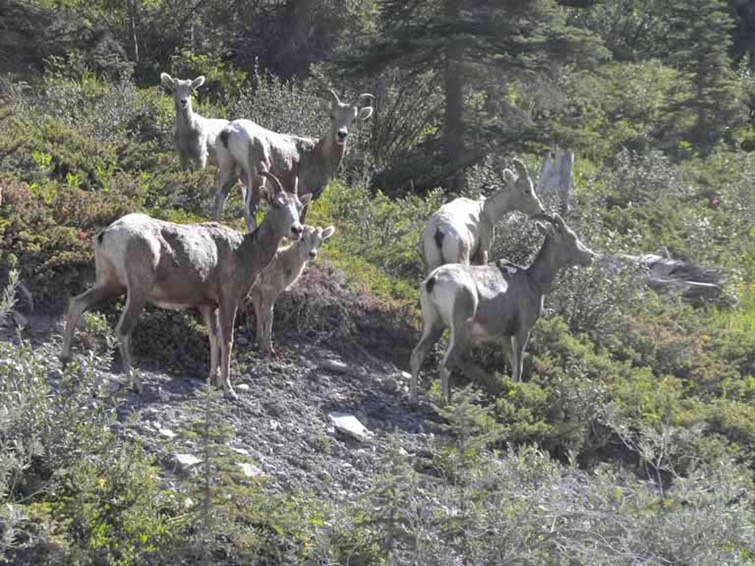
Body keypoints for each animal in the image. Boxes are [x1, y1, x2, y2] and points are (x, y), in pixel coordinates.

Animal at [60, 172, 311, 399]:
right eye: (277, 204)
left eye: (299, 206)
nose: (296, 230)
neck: (248, 251)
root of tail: (107, 234)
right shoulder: (228, 298)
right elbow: (227, 339)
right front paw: (228, 389)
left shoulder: (208, 305)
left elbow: (213, 337)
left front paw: (212, 380)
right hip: (137, 289)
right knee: (122, 329)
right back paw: (136, 383)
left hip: (111, 283)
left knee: (76, 303)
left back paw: (65, 360)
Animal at [213, 88, 374, 232]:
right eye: (332, 116)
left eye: (353, 120)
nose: (341, 134)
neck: (318, 153)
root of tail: (231, 131)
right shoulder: (304, 193)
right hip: (257, 176)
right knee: (250, 210)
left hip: (229, 170)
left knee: (219, 200)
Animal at [246, 225, 336, 355]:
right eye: (302, 238)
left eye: (320, 242)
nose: (312, 254)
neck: (284, 262)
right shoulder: (270, 288)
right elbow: (269, 314)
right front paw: (268, 348)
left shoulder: (257, 289)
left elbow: (258, 311)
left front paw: (258, 340)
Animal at [409, 213, 595, 403]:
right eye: (571, 236)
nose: (591, 256)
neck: (533, 281)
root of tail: (434, 280)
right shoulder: (522, 331)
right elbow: (518, 368)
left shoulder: (505, 336)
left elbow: (512, 365)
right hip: (461, 331)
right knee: (446, 365)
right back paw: (447, 404)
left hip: (434, 324)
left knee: (417, 355)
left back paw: (414, 399)